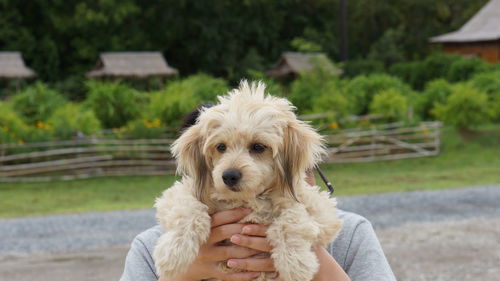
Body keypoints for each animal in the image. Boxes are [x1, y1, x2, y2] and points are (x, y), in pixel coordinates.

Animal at [155, 80, 344, 278]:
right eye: (220, 147)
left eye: (258, 147)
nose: (229, 176)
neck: (246, 199)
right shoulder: (175, 195)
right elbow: (189, 209)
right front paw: (174, 252)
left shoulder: (323, 212)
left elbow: (291, 216)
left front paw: (296, 263)